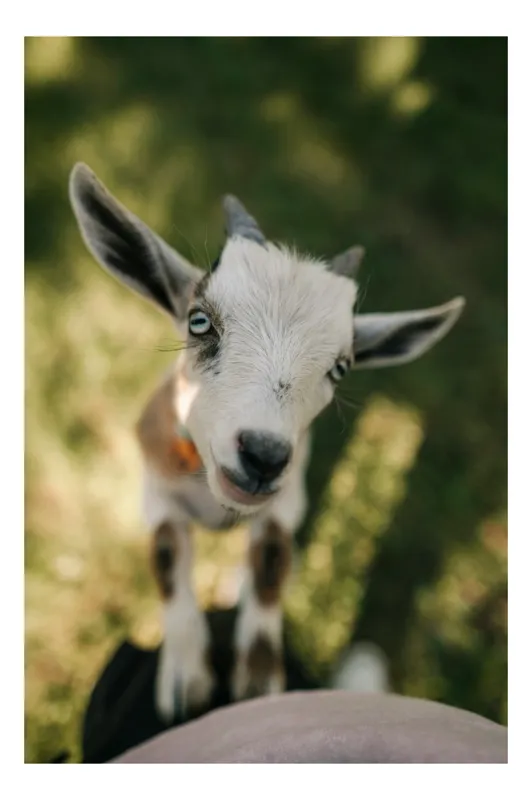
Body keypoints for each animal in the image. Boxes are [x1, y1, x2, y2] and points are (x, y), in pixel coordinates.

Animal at [69, 163, 465, 724]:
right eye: (199, 321)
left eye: (341, 367)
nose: (262, 456)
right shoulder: (155, 489)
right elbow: (167, 554)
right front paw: (185, 681)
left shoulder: (286, 501)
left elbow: (272, 564)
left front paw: (257, 687)